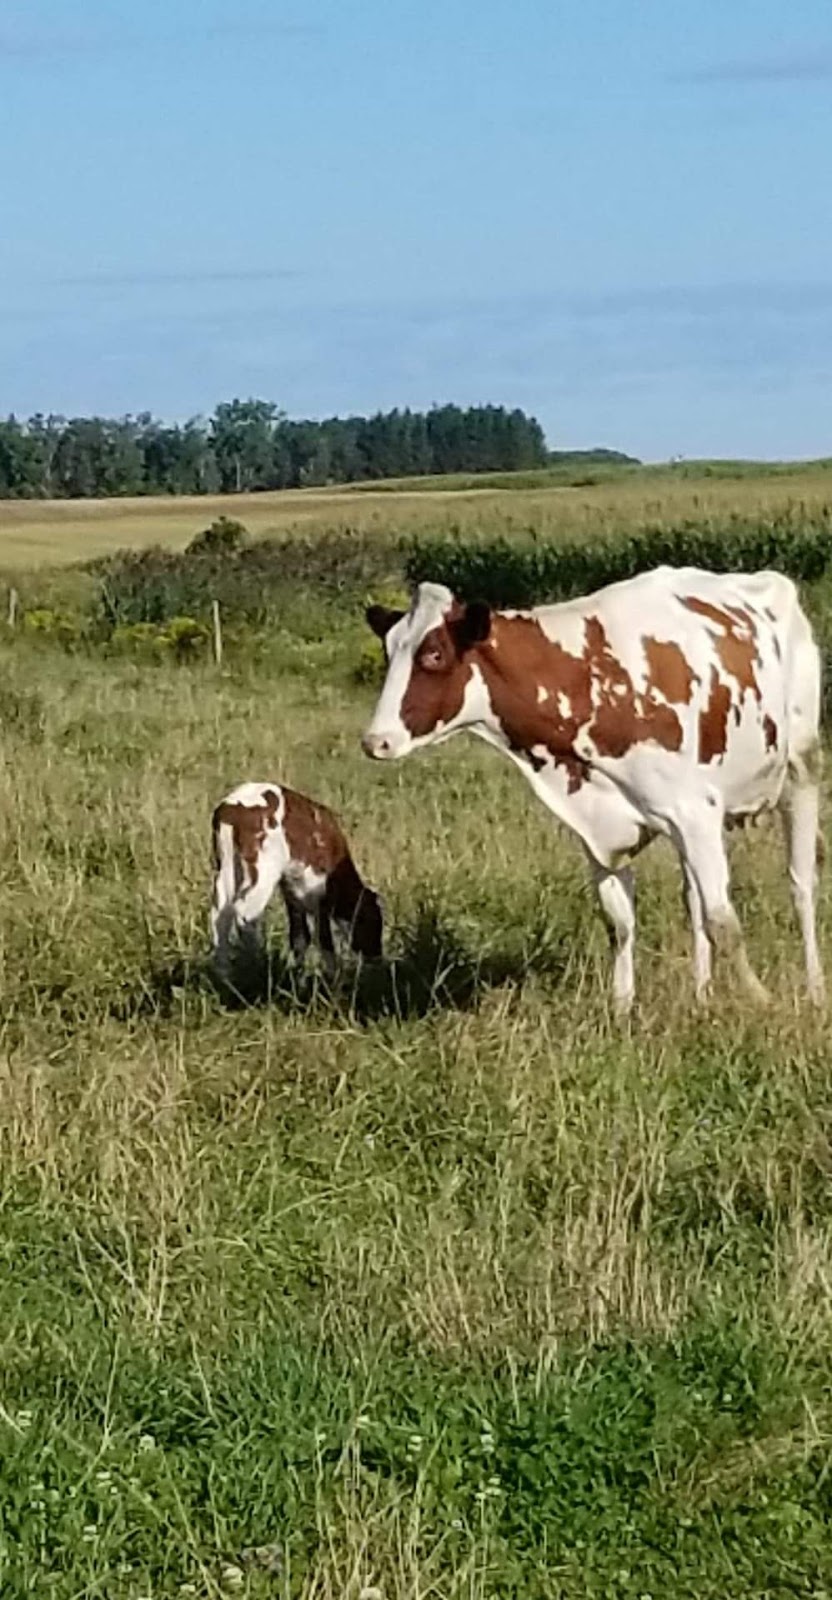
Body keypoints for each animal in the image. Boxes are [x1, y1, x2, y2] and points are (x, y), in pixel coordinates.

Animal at [212, 784, 385, 972]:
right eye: (374, 921)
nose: (377, 954)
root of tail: (229, 808)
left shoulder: (292, 890)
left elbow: (299, 936)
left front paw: (298, 973)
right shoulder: (318, 890)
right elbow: (324, 938)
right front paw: (333, 975)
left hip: (226, 866)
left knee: (220, 914)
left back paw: (224, 973)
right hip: (262, 871)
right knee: (245, 914)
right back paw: (258, 965)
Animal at [364, 566, 825, 1011]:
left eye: (434, 654)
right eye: (389, 652)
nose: (375, 742)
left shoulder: (695, 812)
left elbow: (724, 920)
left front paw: (760, 1000)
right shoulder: (599, 826)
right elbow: (620, 922)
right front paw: (621, 1008)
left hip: (801, 773)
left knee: (801, 885)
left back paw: (815, 988)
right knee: (692, 897)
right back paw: (701, 993)